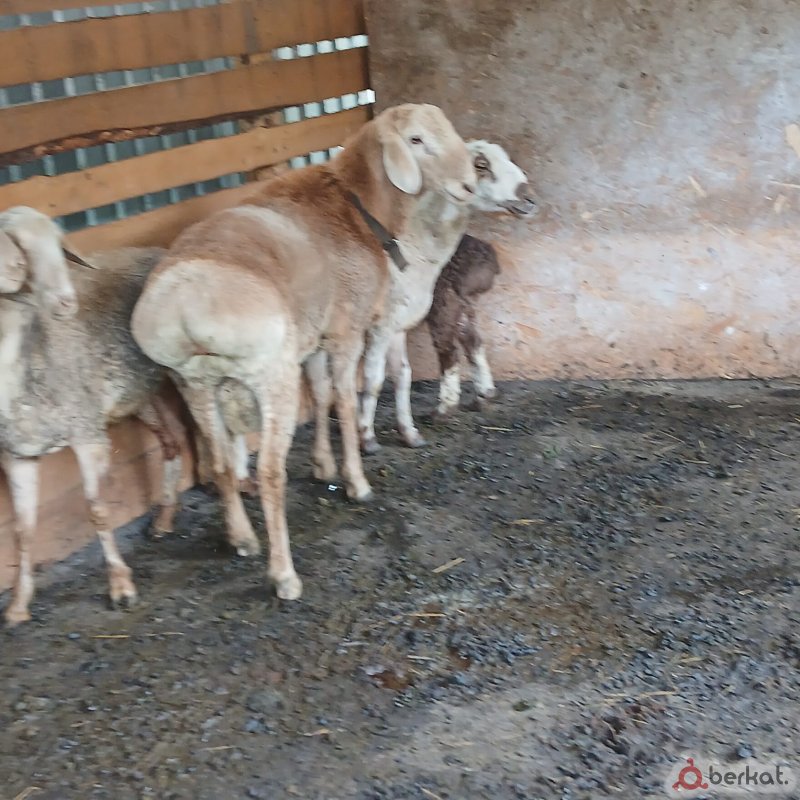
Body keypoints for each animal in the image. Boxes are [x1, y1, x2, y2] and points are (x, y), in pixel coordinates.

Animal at [0, 207, 186, 625]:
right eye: (19, 253)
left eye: (59, 246)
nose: (66, 302)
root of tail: (159, 249)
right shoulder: (17, 455)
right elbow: (23, 530)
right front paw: (18, 605)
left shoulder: (87, 433)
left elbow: (98, 511)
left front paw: (121, 587)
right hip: (140, 392)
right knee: (174, 441)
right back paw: (164, 521)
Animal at [131, 103, 476, 602]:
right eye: (415, 140)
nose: (468, 184)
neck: (358, 206)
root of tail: (184, 304)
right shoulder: (348, 330)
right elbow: (345, 403)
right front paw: (355, 479)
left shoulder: (315, 337)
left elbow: (321, 394)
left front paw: (322, 465)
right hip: (270, 375)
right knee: (270, 472)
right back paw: (284, 575)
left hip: (193, 382)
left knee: (221, 461)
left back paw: (241, 538)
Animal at [427, 234, 502, 417]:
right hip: (465, 300)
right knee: (473, 341)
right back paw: (485, 395)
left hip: (444, 296)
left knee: (449, 348)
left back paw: (445, 408)